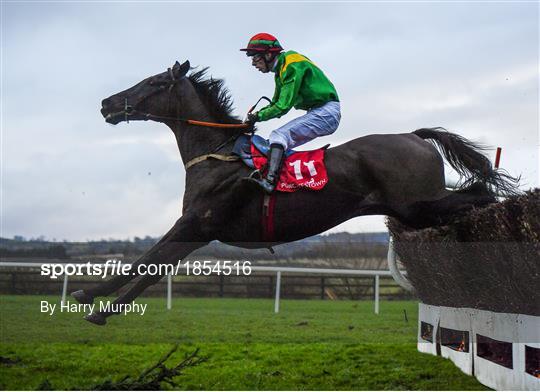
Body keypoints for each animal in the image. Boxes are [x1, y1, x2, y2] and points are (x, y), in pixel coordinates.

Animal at [71, 60, 520, 324]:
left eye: (152, 82)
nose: (106, 103)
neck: (217, 154)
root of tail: (414, 136)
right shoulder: (197, 233)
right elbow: (150, 266)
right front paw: (92, 298)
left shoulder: (196, 224)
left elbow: (146, 262)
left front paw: (96, 303)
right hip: (417, 208)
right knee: (474, 196)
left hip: (418, 204)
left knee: (481, 193)